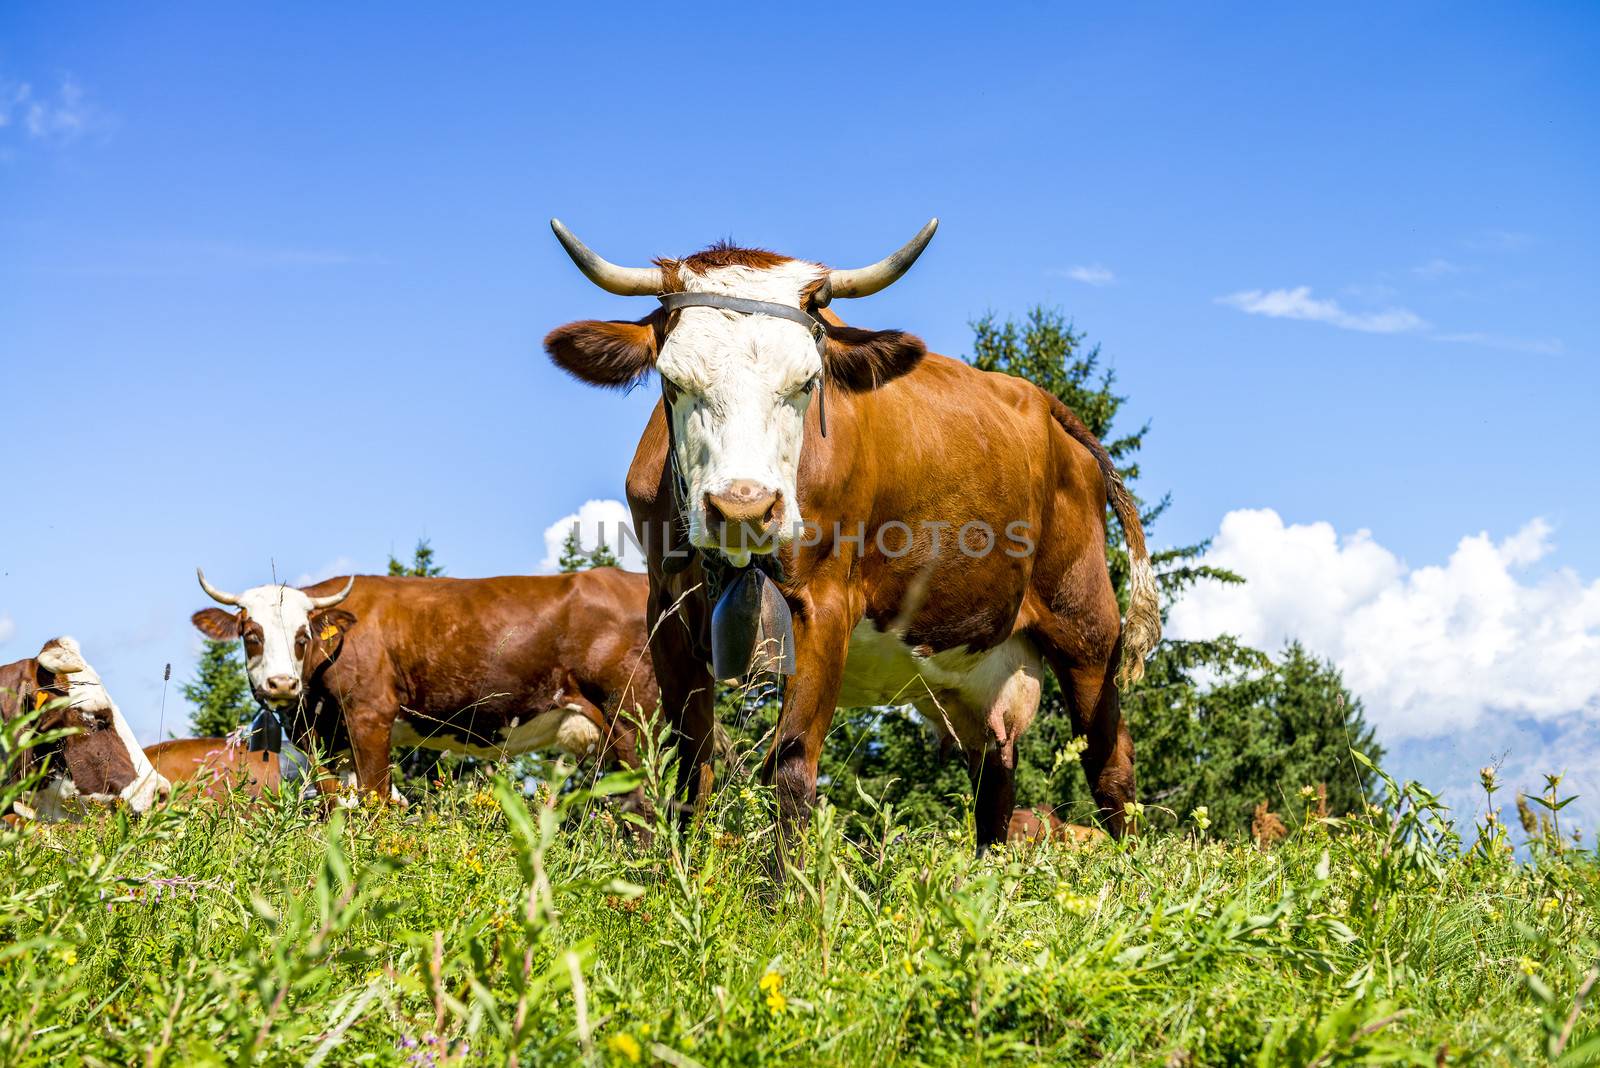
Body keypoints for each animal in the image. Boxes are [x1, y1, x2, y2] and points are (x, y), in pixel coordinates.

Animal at [192, 565, 656, 799]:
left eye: (303, 636)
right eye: (251, 634)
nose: (282, 684)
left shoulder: (370, 718)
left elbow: (376, 800)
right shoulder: (326, 740)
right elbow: (335, 804)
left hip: (635, 721)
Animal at [544, 219, 1158, 850]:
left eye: (807, 381)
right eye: (672, 380)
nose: (744, 506)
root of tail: (1042, 401)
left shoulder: (825, 604)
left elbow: (791, 762)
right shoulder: (665, 609)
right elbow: (694, 763)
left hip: (1086, 625)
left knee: (1111, 763)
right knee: (996, 778)